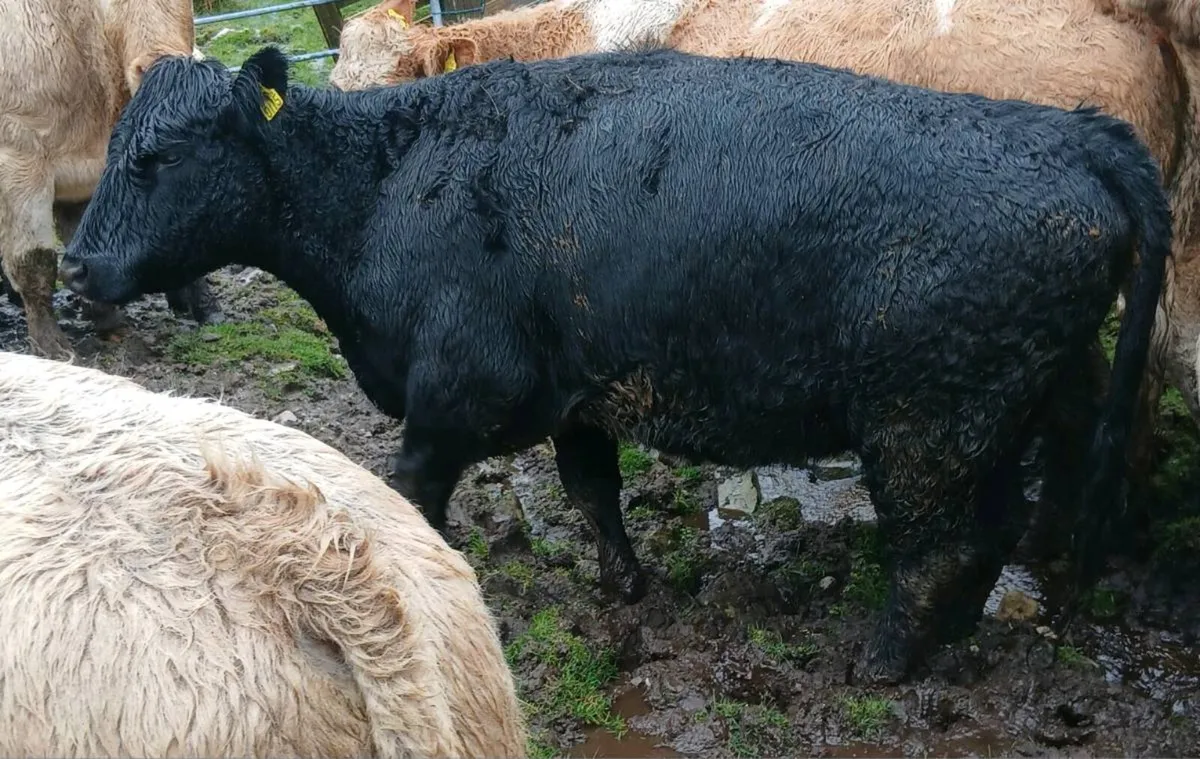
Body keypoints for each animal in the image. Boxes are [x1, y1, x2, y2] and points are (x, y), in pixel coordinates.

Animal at [57, 46, 1170, 683]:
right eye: (113, 146)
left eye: (158, 157)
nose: (75, 265)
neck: (386, 185)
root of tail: (1070, 130)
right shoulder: (577, 395)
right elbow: (594, 490)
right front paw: (626, 590)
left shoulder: (454, 396)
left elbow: (411, 498)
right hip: (1027, 405)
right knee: (1018, 521)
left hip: (924, 429)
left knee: (945, 545)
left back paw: (888, 661)